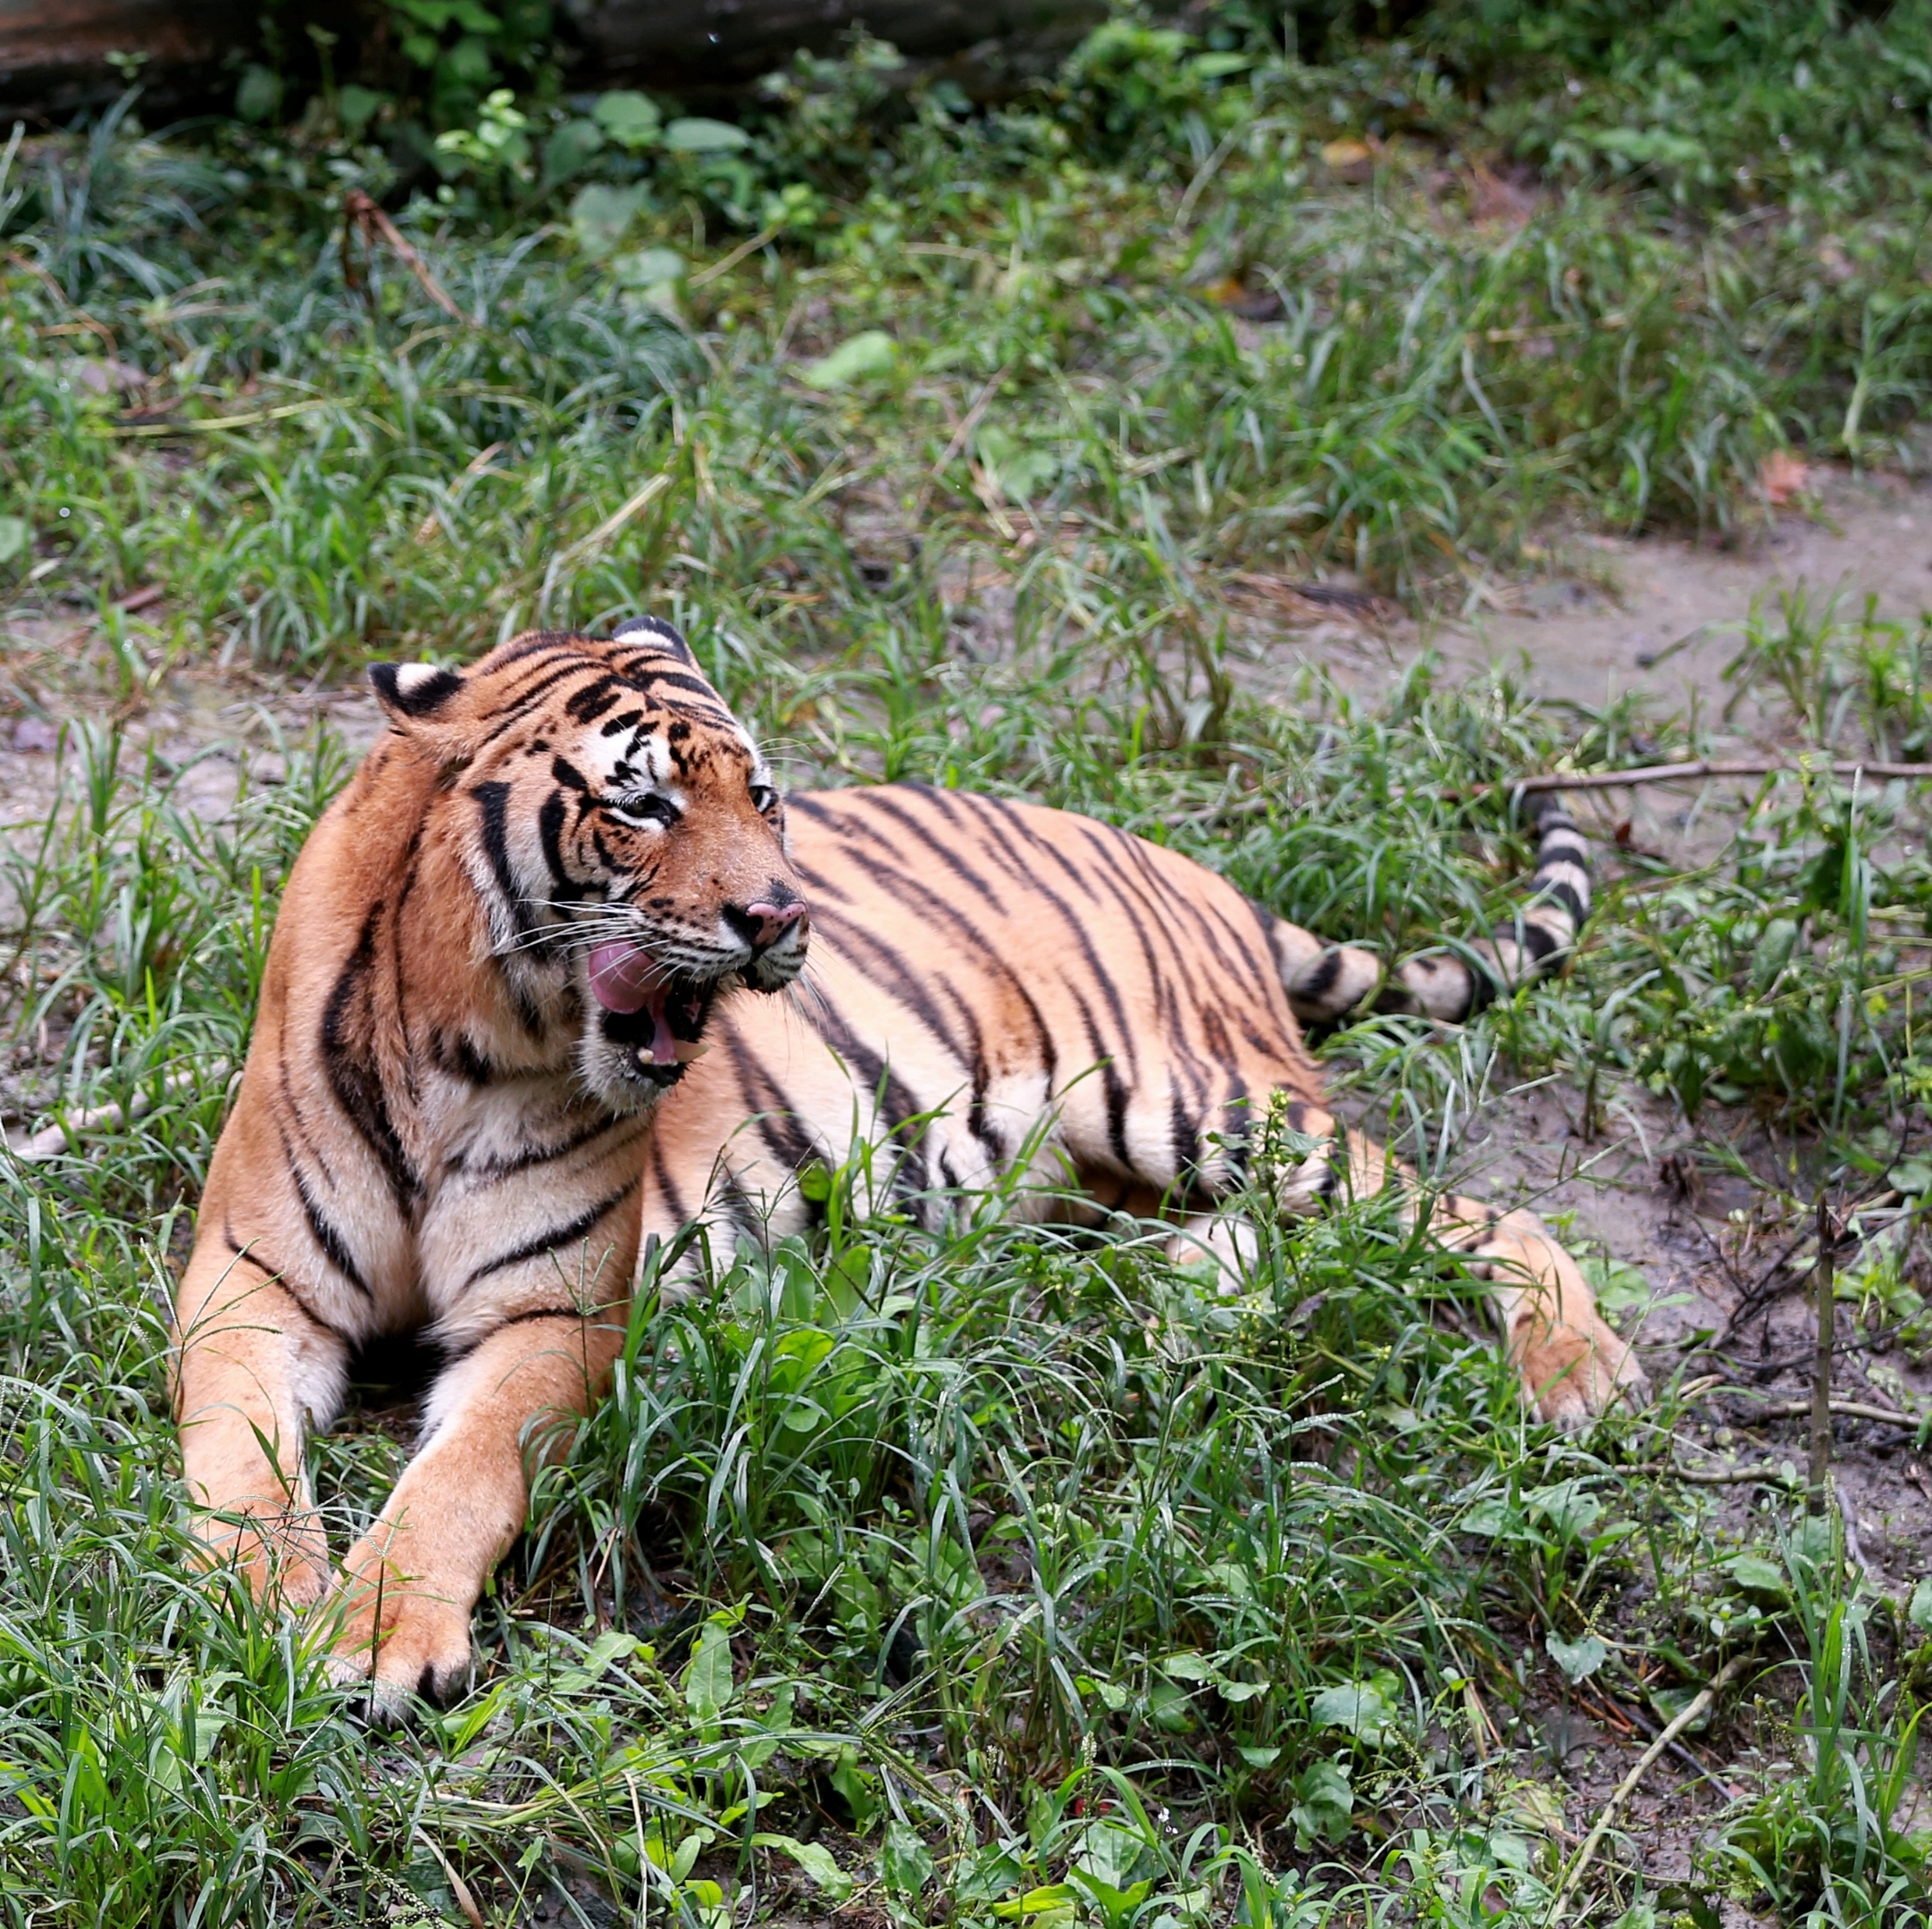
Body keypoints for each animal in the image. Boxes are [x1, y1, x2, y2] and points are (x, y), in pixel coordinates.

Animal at [170, 617, 1645, 1722]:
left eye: (760, 795)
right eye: (642, 803)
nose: (778, 918)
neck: (462, 1039)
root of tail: (1197, 870)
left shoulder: (556, 1314)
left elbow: (460, 1476)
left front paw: (375, 1634)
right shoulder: (247, 1282)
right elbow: (234, 1451)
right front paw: (265, 1593)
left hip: (1199, 1100)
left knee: (1466, 1214)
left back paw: (1576, 1371)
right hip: (1115, 1157)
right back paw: (1176, 1299)